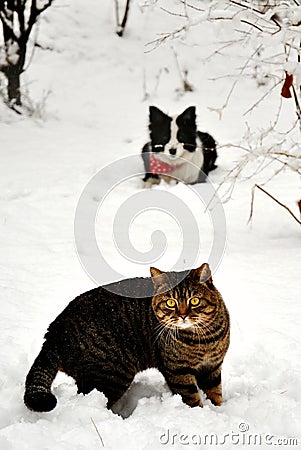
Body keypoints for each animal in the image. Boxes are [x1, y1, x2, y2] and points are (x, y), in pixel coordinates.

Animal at [24, 262, 230, 414]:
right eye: (170, 303)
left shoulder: (212, 367)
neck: (205, 339)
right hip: (111, 375)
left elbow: (215, 394)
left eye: (194, 300)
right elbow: (192, 400)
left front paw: (219, 411)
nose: (182, 315)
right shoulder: (178, 371)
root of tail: (54, 332)